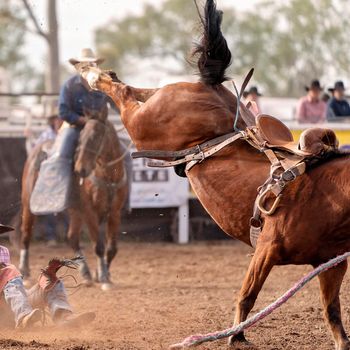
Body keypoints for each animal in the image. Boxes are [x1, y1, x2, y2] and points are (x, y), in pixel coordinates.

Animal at [18, 112, 127, 290]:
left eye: (97, 136)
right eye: (81, 137)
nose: (81, 169)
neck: (107, 175)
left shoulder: (115, 211)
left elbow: (111, 248)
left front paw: (103, 274)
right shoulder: (89, 211)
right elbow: (99, 245)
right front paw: (103, 277)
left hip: (75, 210)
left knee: (72, 237)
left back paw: (86, 274)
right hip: (28, 204)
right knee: (26, 234)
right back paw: (24, 272)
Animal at [78, 1, 350, 348]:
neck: (328, 195)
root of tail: (212, 88)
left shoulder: (332, 263)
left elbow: (332, 312)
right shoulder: (266, 249)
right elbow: (247, 295)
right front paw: (236, 335)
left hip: (157, 105)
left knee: (135, 88)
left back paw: (96, 71)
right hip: (142, 125)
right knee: (121, 92)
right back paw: (90, 73)